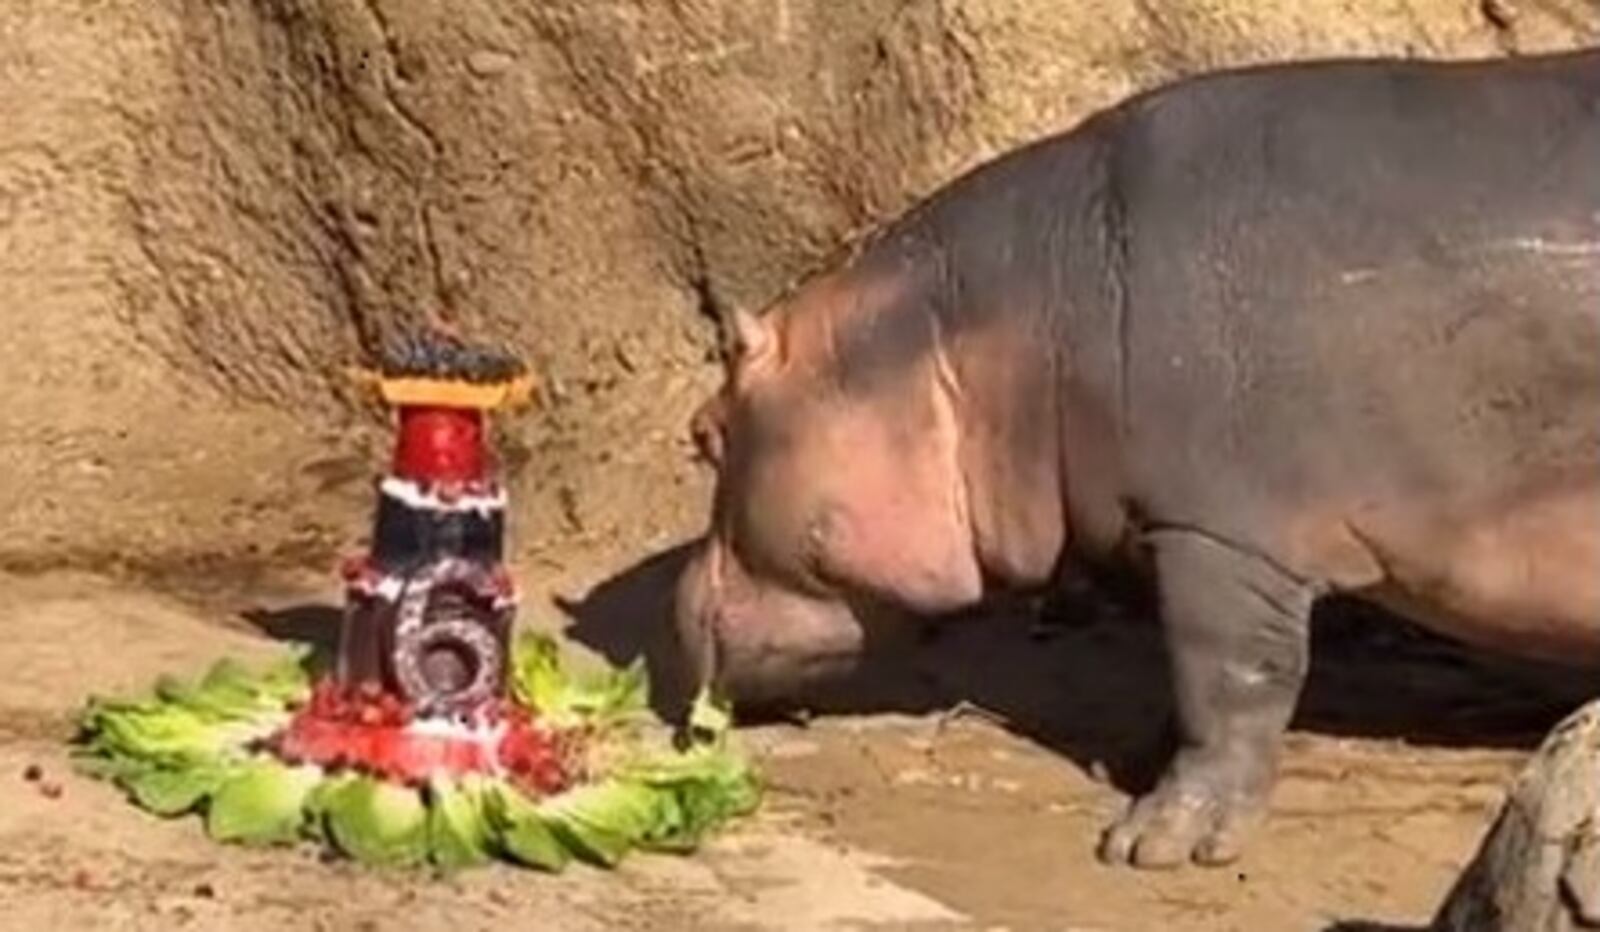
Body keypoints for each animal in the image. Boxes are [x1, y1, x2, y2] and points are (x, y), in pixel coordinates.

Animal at [668, 47, 1593, 871]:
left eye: (705, 431)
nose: (672, 618)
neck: (974, 332)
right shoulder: (1153, 523)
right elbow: (1179, 674)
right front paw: (1140, 766)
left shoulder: (1220, 534)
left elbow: (1228, 680)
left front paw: (1154, 845)